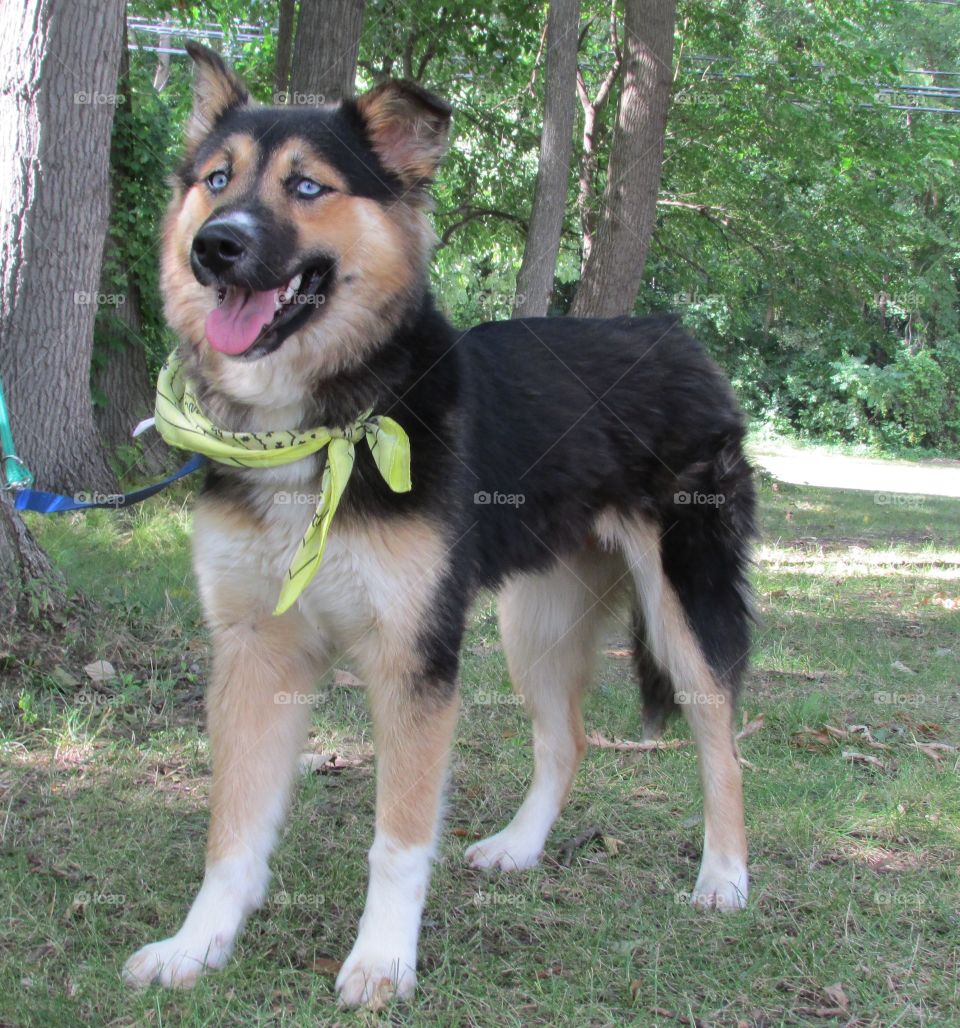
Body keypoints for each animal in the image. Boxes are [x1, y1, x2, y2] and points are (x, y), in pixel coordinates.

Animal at [123, 44, 760, 1007]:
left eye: (306, 187)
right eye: (216, 179)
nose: (214, 246)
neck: (320, 425)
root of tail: (674, 335)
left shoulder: (412, 656)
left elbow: (398, 839)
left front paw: (382, 961)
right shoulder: (254, 651)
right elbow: (231, 832)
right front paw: (198, 945)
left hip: (682, 605)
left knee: (720, 737)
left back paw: (723, 876)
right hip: (534, 621)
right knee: (567, 739)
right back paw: (521, 848)